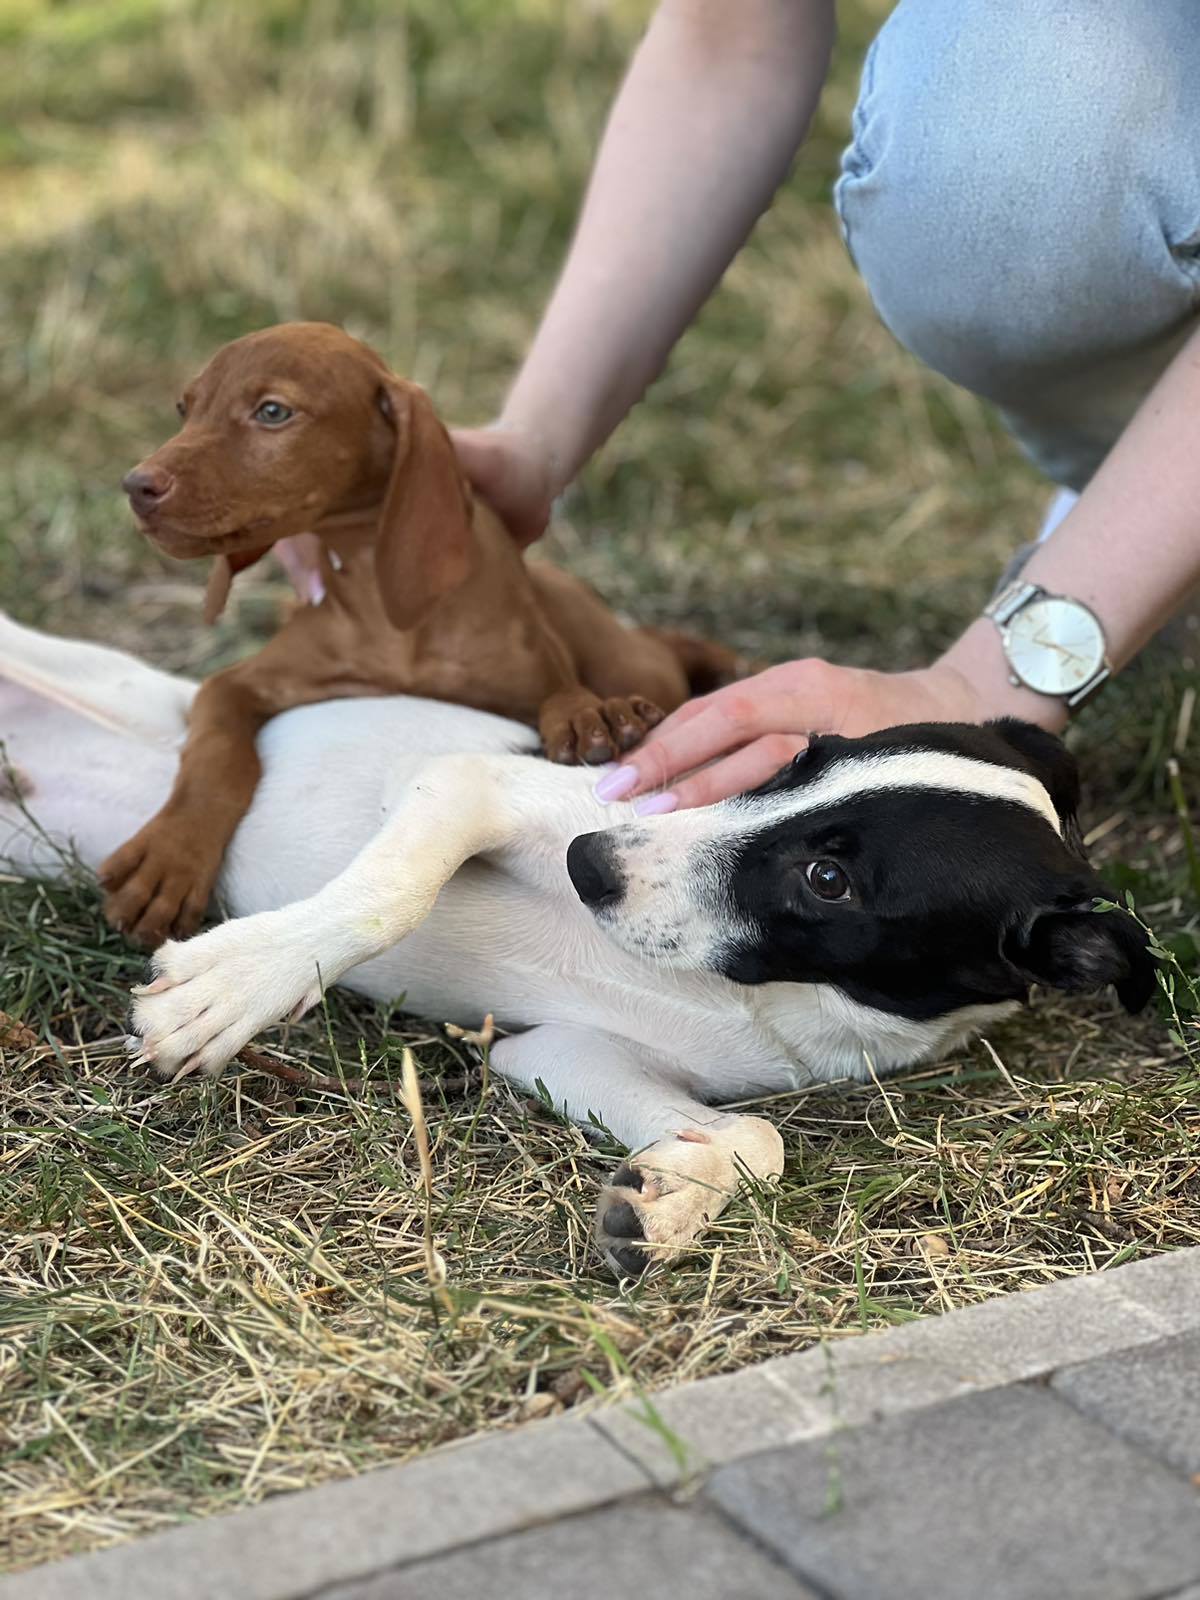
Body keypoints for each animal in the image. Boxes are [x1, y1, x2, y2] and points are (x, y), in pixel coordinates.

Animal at [0, 611, 1158, 1273]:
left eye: (829, 880)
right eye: (800, 757)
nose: (589, 860)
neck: (744, 988)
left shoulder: (555, 1049)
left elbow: (756, 1140)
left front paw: (670, 1204)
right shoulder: (476, 783)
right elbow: (386, 896)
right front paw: (236, 983)